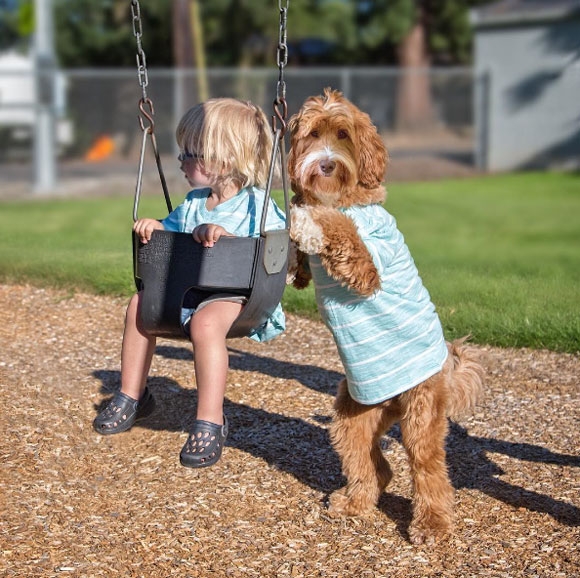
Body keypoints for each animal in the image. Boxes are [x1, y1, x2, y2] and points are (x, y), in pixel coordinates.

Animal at [286, 88, 484, 544]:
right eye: (313, 134)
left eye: (343, 135)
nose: (325, 164)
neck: (340, 195)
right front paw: (295, 258)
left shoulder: (365, 266)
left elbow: (338, 228)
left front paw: (306, 219)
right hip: (351, 415)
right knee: (372, 464)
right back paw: (355, 503)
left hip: (420, 414)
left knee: (428, 469)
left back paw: (432, 524)